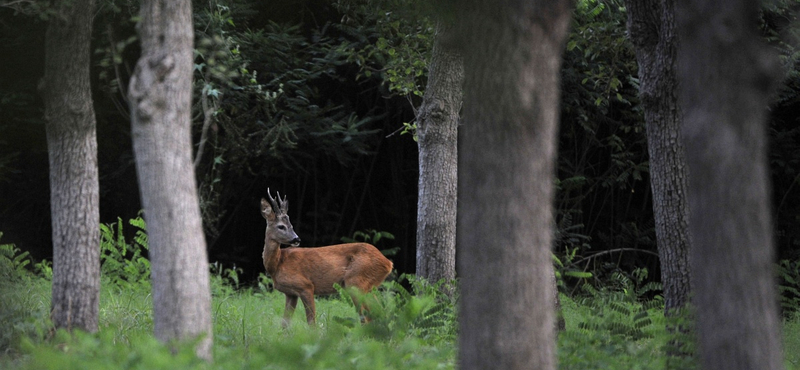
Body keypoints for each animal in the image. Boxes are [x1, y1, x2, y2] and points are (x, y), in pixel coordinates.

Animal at [260, 189, 394, 328]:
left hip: (356, 281)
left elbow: (311, 321)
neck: (278, 264)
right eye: (281, 226)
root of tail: (388, 263)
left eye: (290, 225)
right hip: (368, 286)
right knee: (378, 313)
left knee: (366, 316)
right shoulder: (290, 293)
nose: (296, 239)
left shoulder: (305, 286)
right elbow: (285, 323)